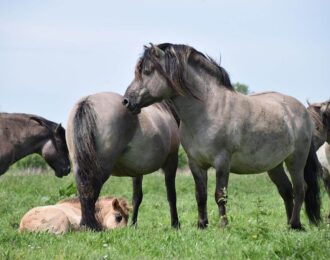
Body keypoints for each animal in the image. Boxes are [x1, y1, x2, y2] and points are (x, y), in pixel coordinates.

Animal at [66, 91, 180, 230]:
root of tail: (87, 101)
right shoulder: (171, 161)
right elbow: (171, 195)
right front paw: (175, 224)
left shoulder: (137, 170)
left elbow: (137, 197)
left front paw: (133, 224)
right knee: (91, 189)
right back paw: (92, 225)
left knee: (83, 189)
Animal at [122, 42, 320, 230]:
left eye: (147, 71)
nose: (126, 101)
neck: (207, 110)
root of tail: (301, 109)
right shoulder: (196, 163)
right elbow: (200, 195)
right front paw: (202, 224)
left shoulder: (222, 161)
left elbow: (220, 195)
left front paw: (223, 225)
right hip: (275, 164)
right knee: (286, 190)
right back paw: (289, 224)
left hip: (296, 159)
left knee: (301, 189)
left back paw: (295, 224)